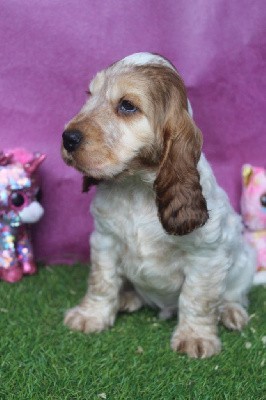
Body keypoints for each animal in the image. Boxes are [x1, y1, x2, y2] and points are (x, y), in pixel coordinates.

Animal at [60, 51, 256, 358]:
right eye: (89, 95)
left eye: (127, 105)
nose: (67, 138)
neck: (137, 186)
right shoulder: (105, 240)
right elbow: (102, 282)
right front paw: (90, 316)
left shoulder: (206, 256)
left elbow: (197, 299)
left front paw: (195, 337)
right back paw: (126, 298)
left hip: (246, 261)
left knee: (235, 294)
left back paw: (231, 312)